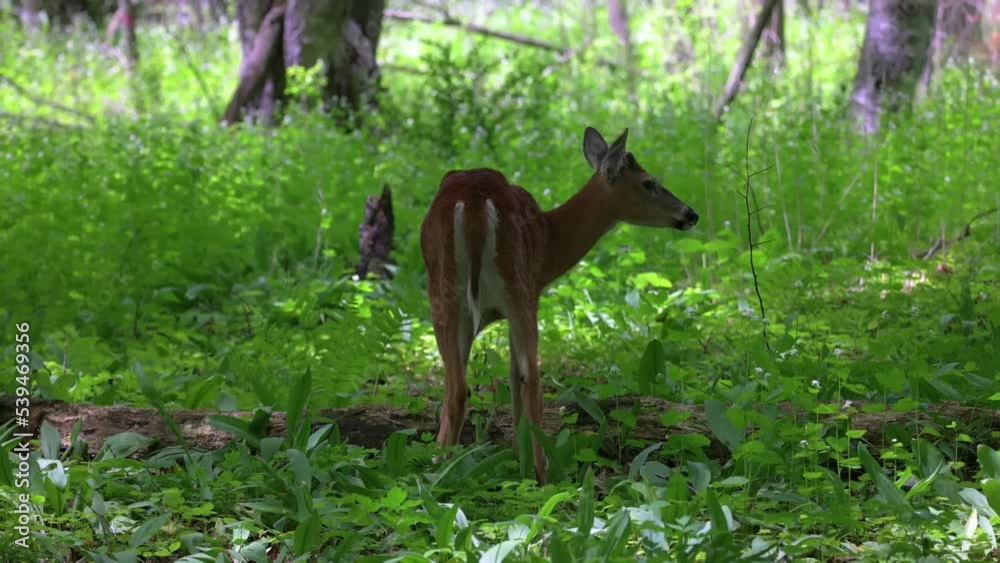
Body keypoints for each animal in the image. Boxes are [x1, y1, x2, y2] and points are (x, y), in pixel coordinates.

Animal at [420, 128, 696, 484]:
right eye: (649, 182)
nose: (691, 214)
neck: (549, 240)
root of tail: (475, 203)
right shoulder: (531, 291)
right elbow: (516, 377)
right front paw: (519, 459)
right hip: (515, 289)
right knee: (529, 377)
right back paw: (541, 474)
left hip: (448, 295)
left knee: (457, 387)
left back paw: (439, 471)